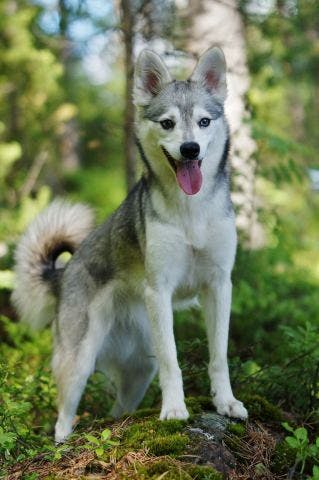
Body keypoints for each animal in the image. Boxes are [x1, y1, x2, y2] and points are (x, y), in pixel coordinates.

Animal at [11, 46, 248, 442]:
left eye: (203, 122)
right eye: (167, 123)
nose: (190, 149)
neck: (191, 211)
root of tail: (62, 274)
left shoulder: (219, 285)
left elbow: (219, 357)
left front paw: (226, 403)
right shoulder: (160, 289)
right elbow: (172, 360)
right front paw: (174, 410)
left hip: (139, 372)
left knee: (118, 410)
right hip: (79, 362)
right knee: (63, 418)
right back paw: (63, 441)